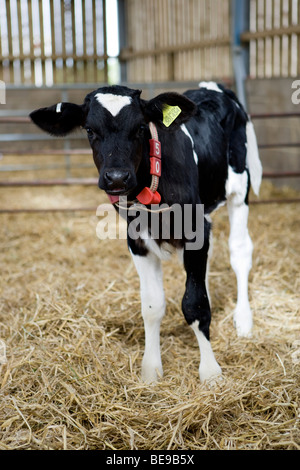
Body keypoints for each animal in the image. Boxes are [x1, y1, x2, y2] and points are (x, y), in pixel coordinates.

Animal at [29, 82, 262, 384]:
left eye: (140, 127)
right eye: (89, 129)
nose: (117, 177)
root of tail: (213, 86)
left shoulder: (195, 230)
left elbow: (195, 305)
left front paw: (210, 372)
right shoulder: (137, 241)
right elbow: (152, 306)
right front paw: (151, 370)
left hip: (239, 189)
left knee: (240, 251)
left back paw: (244, 320)